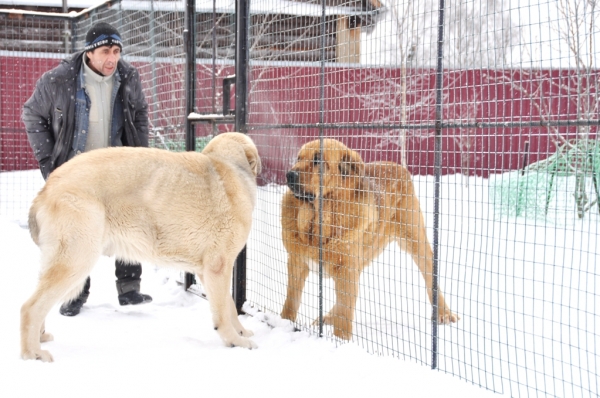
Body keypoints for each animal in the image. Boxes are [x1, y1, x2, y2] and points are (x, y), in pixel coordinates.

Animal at [21, 131, 260, 360]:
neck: (228, 164)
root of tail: (46, 188)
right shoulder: (218, 268)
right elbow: (223, 310)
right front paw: (235, 341)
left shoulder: (209, 271)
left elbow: (229, 305)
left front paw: (241, 332)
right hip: (77, 260)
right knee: (30, 308)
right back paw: (32, 353)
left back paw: (40, 339)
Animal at [280, 139, 460, 338]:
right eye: (299, 158)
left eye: (318, 160)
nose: (289, 174)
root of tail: (399, 167)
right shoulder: (297, 263)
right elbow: (290, 303)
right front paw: (283, 324)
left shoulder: (347, 270)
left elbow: (344, 319)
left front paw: (341, 341)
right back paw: (326, 317)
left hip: (415, 242)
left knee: (430, 277)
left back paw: (444, 313)